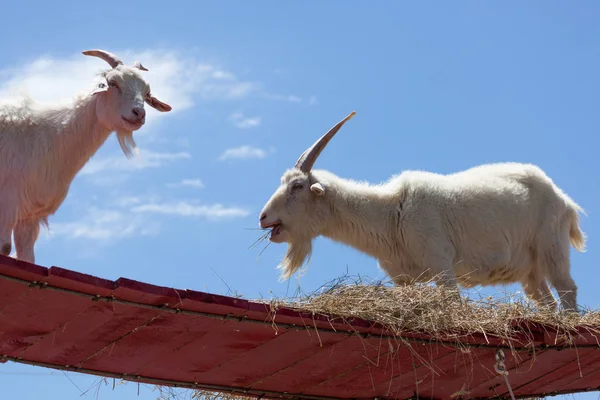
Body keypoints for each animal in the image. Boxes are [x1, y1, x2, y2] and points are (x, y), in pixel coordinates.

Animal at [0, 49, 172, 262]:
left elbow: (27, 257)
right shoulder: (8, 201)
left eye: (147, 92)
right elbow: (5, 248)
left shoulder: (30, 214)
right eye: (113, 83)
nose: (139, 113)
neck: (50, 134)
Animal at [258, 111, 584, 312]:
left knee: (567, 289)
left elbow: (451, 301)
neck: (391, 212)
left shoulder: (441, 262)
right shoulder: (402, 278)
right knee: (546, 300)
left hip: (552, 246)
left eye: (298, 186)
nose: (263, 218)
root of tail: (566, 201)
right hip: (530, 270)